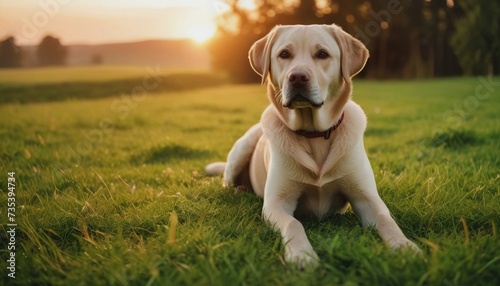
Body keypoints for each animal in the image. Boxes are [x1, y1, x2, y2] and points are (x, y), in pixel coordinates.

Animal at [205, 23, 420, 270]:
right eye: (284, 54)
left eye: (322, 54)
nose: (297, 77)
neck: (314, 134)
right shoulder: (276, 204)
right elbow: (293, 224)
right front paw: (302, 255)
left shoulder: (366, 197)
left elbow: (387, 219)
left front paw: (405, 246)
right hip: (243, 147)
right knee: (226, 182)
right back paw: (238, 191)